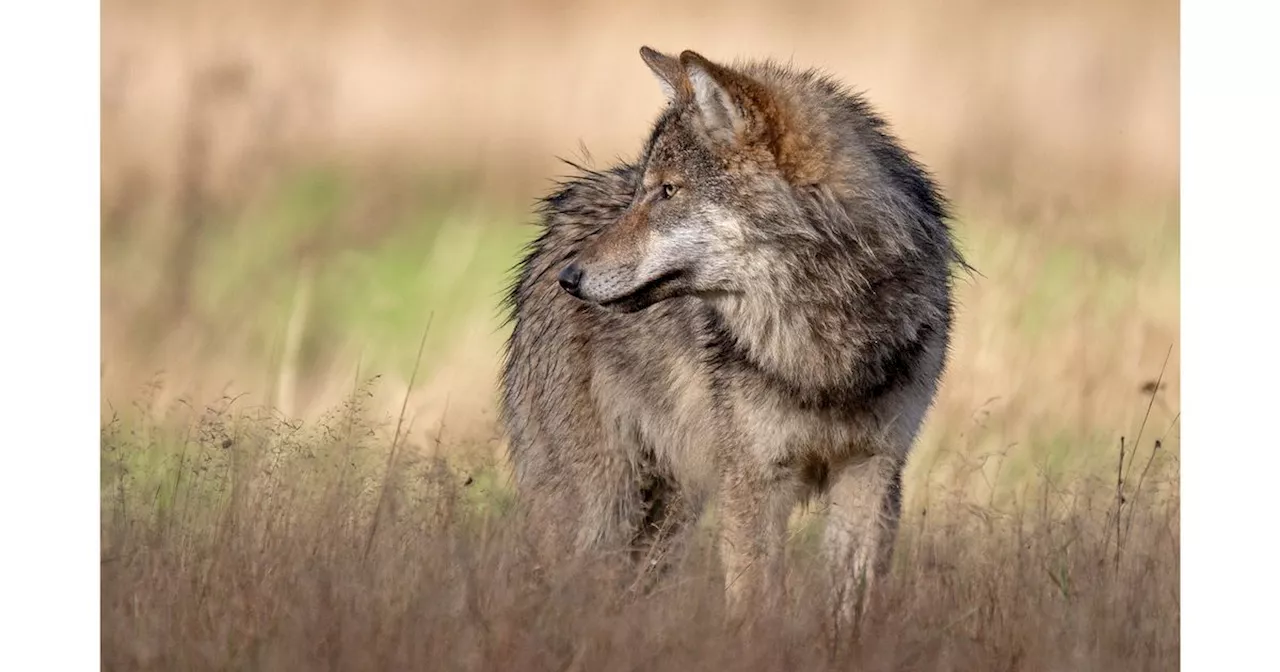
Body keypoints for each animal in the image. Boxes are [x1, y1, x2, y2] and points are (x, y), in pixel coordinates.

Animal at [499, 47, 962, 624]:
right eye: (646, 191)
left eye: (668, 190)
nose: (570, 278)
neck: (821, 347)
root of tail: (553, 225)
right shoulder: (754, 483)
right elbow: (756, 606)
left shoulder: (872, 472)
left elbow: (848, 605)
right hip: (599, 506)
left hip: (669, 513)